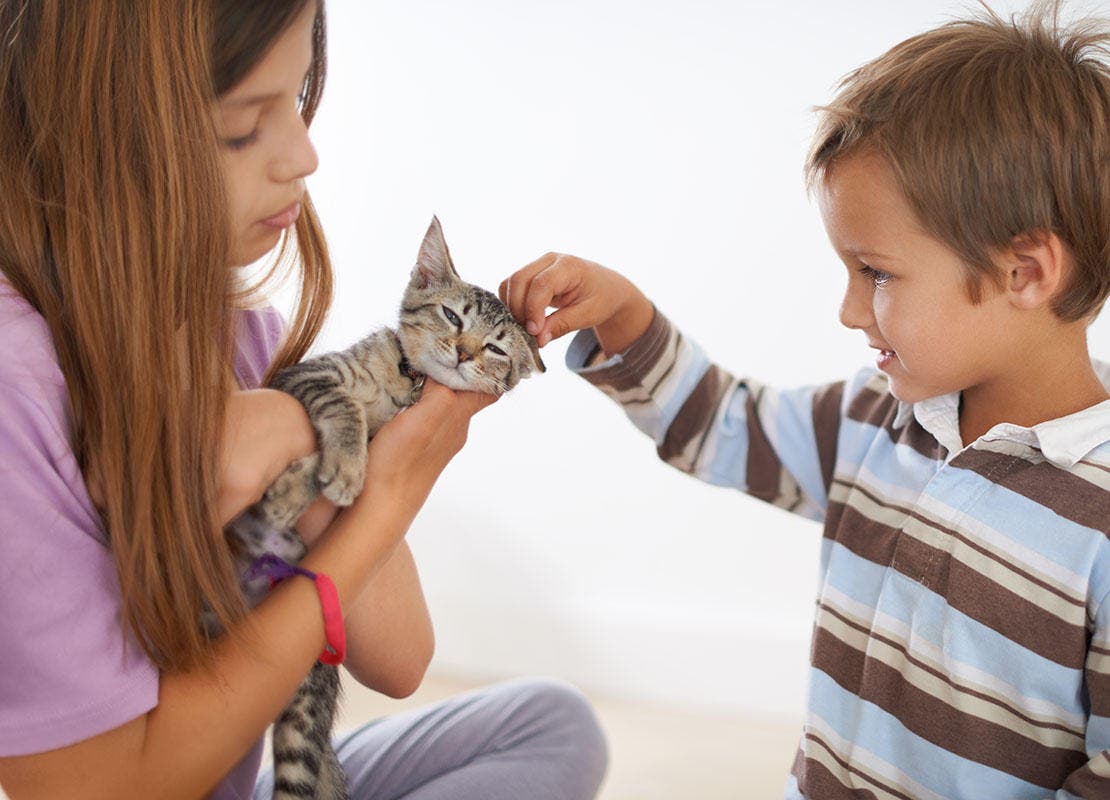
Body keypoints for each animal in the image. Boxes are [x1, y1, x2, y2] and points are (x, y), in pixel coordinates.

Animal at [223, 218, 543, 798]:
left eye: (495, 348)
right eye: (452, 316)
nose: (463, 353)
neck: (401, 383)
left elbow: (345, 450)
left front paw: (323, 477)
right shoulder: (302, 377)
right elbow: (344, 405)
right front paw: (344, 463)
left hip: (302, 709)